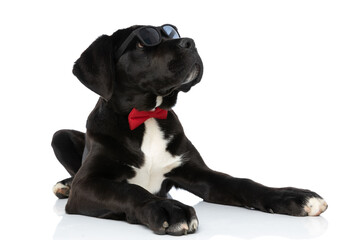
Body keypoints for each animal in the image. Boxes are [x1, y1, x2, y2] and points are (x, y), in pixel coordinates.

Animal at [52, 24, 328, 236]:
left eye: (171, 32)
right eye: (143, 42)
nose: (190, 42)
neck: (148, 116)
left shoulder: (197, 172)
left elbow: (241, 183)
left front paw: (293, 196)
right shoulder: (87, 185)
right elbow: (128, 189)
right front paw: (168, 209)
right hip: (59, 137)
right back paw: (65, 184)